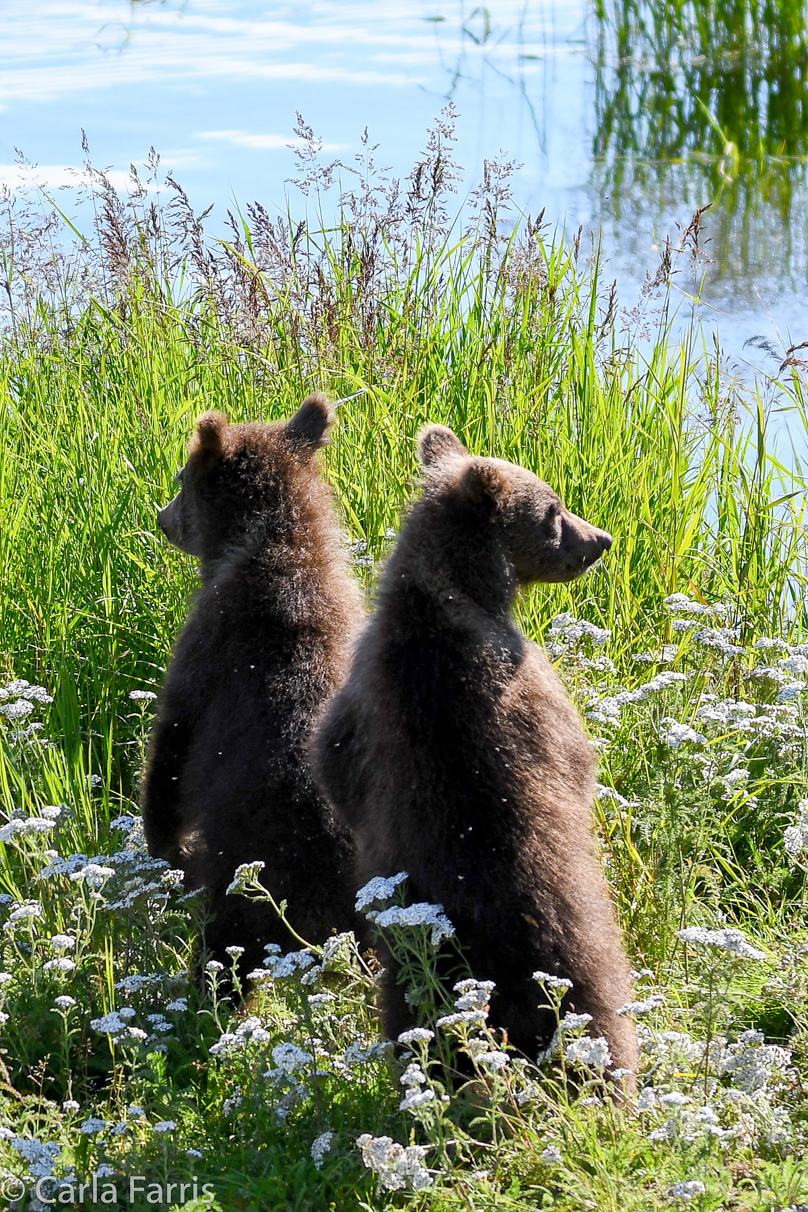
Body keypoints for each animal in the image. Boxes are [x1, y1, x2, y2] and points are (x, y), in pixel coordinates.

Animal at [142, 397, 363, 974]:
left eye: (181, 478)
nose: (162, 517)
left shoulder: (211, 643)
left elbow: (174, 734)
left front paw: (165, 844)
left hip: (248, 871)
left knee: (225, 949)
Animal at [312, 426, 639, 1081]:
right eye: (553, 509)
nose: (601, 540)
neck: (448, 594)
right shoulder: (526, 683)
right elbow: (574, 755)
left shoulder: (359, 702)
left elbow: (335, 767)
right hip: (583, 969)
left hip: (407, 987)